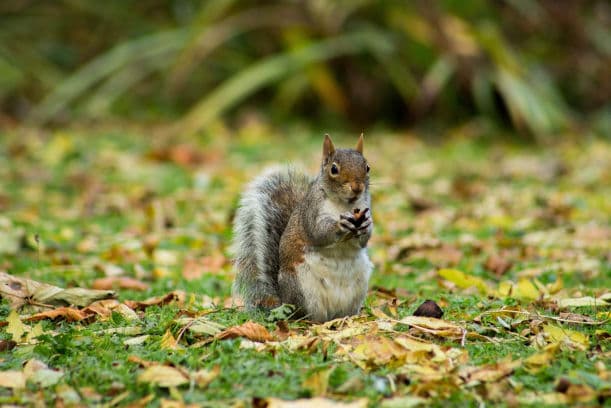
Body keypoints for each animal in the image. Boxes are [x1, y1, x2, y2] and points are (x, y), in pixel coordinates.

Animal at [232, 135, 372, 322]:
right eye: (334, 169)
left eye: (367, 167)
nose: (357, 188)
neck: (345, 206)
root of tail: (283, 302)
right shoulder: (311, 212)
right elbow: (318, 233)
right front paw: (340, 225)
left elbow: (363, 241)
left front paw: (366, 226)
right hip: (301, 288)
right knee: (305, 315)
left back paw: (348, 318)